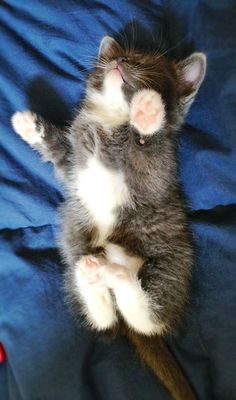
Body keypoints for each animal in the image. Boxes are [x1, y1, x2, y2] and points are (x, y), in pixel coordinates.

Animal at [11, 36, 206, 398]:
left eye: (145, 63)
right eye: (122, 55)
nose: (120, 62)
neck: (112, 120)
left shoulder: (159, 171)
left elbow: (149, 151)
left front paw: (147, 113)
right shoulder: (74, 164)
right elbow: (60, 154)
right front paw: (30, 126)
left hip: (172, 264)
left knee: (148, 317)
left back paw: (118, 275)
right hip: (74, 250)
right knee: (105, 321)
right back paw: (93, 275)